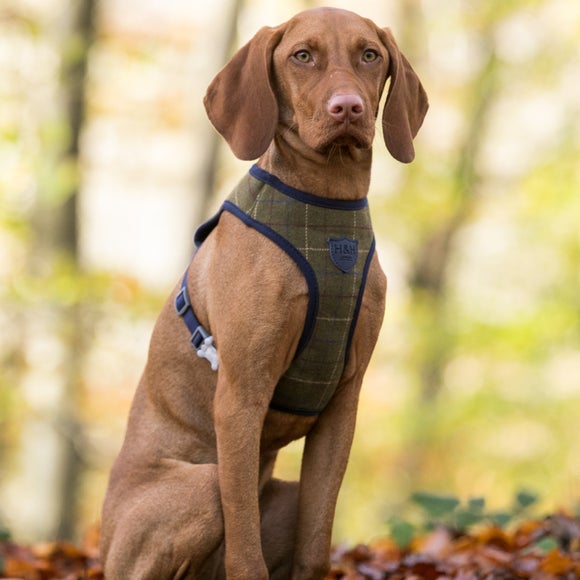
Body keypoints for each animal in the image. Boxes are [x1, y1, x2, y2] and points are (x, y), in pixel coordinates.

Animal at [98, 5, 426, 580]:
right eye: (302, 55)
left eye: (370, 54)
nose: (349, 107)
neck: (327, 208)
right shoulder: (241, 395)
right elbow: (245, 551)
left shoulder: (343, 404)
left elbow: (316, 542)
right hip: (199, 487)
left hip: (283, 495)